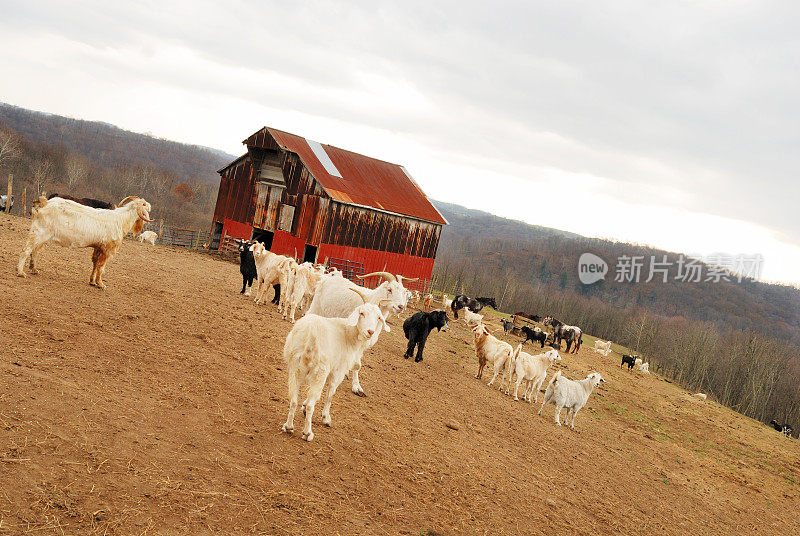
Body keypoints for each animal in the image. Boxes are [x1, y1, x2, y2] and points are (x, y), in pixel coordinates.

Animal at [17, 196, 153, 288]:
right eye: (145, 206)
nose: (149, 212)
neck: (121, 220)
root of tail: (44, 203)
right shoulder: (107, 248)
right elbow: (101, 267)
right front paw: (100, 284)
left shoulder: (98, 247)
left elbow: (95, 263)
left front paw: (92, 281)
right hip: (38, 232)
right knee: (26, 250)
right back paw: (20, 272)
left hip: (42, 236)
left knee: (35, 251)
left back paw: (34, 269)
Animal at [282, 292, 390, 442]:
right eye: (362, 313)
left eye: (379, 317)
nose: (370, 332)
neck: (347, 334)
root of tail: (311, 333)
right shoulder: (338, 371)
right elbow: (330, 394)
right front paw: (326, 418)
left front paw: (303, 406)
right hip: (320, 371)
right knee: (311, 405)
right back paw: (308, 433)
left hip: (295, 368)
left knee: (293, 399)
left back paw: (288, 427)